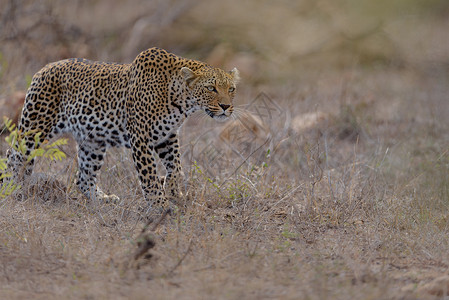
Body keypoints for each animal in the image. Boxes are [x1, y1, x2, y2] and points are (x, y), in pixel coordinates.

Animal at [5, 47, 240, 213]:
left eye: (231, 89)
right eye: (211, 88)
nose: (226, 107)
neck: (181, 101)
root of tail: (44, 68)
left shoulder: (168, 136)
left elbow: (176, 166)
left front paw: (175, 192)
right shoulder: (141, 138)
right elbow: (149, 176)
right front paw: (160, 205)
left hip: (93, 141)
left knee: (83, 177)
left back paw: (102, 199)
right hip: (36, 126)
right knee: (13, 154)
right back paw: (8, 189)